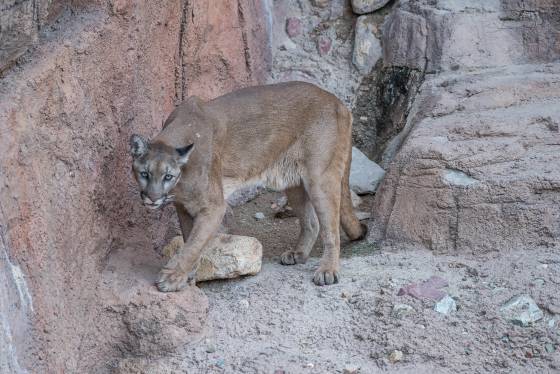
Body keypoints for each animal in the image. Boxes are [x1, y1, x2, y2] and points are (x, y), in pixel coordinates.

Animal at [129, 82, 366, 292]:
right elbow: (190, 240)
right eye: (144, 174)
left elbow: (194, 244)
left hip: (320, 178)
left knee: (331, 230)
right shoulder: (183, 207)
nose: (152, 198)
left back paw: (327, 271)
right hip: (293, 182)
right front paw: (187, 276)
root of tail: (337, 101)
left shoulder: (213, 207)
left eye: (168, 176)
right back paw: (297, 254)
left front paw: (173, 278)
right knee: (312, 223)